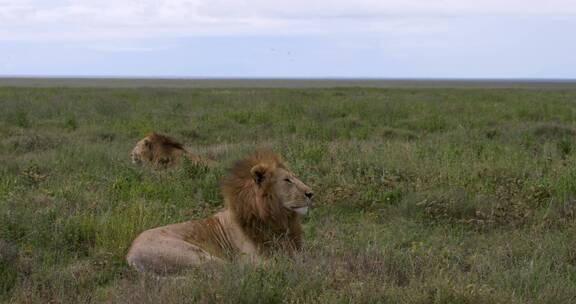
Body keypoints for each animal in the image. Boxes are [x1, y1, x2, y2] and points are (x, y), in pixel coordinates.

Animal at [126, 151, 316, 274]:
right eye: (287, 180)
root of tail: (129, 255)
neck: (277, 217)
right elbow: (278, 263)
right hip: (199, 256)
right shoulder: (252, 257)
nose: (310, 193)